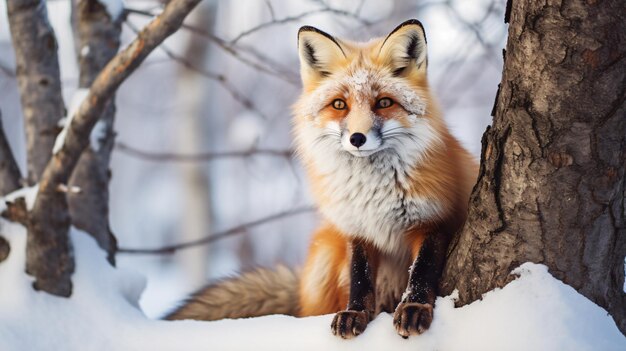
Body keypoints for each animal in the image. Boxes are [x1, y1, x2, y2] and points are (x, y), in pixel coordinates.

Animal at [163, 20, 476, 340]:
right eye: (339, 105)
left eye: (384, 102)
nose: (357, 138)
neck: (374, 192)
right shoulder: (356, 229)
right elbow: (360, 279)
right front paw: (354, 314)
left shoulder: (432, 220)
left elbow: (421, 272)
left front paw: (414, 308)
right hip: (326, 251)